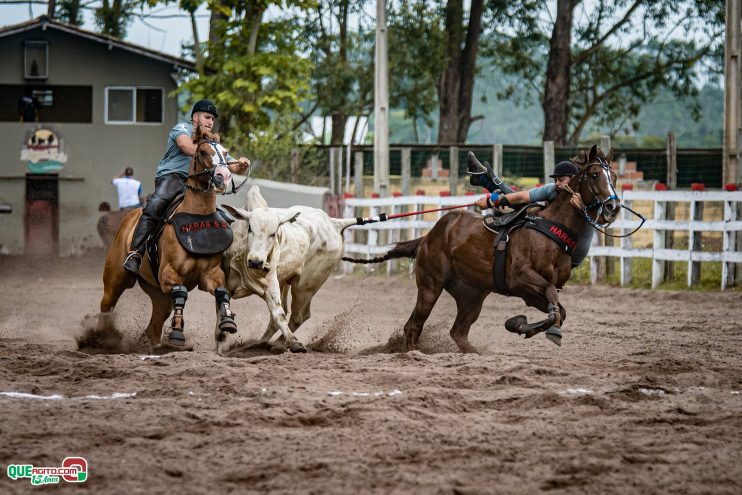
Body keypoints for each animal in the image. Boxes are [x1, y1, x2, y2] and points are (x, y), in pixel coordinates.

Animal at [97, 126, 238, 354]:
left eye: (225, 153)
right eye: (203, 152)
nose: (222, 176)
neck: (197, 216)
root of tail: (127, 218)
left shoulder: (210, 273)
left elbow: (221, 291)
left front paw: (227, 321)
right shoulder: (168, 274)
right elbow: (181, 293)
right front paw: (177, 332)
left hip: (159, 296)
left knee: (153, 326)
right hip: (115, 279)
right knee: (106, 306)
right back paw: (100, 339)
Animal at [348, 144, 620, 352]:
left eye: (614, 178)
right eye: (595, 175)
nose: (612, 207)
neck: (551, 229)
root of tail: (427, 238)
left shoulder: (532, 294)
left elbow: (559, 312)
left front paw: (522, 324)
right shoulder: (521, 279)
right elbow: (554, 301)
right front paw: (522, 324)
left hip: (472, 295)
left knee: (458, 332)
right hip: (430, 285)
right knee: (413, 325)